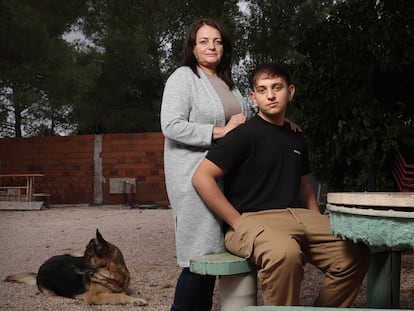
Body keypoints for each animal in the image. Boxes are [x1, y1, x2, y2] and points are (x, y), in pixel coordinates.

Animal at [4, 230, 147, 306]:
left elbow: (125, 292)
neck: (112, 276)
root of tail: (41, 267)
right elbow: (118, 296)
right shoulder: (93, 297)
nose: (72, 267)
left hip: (72, 253)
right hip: (52, 290)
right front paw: (136, 300)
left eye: (88, 255)